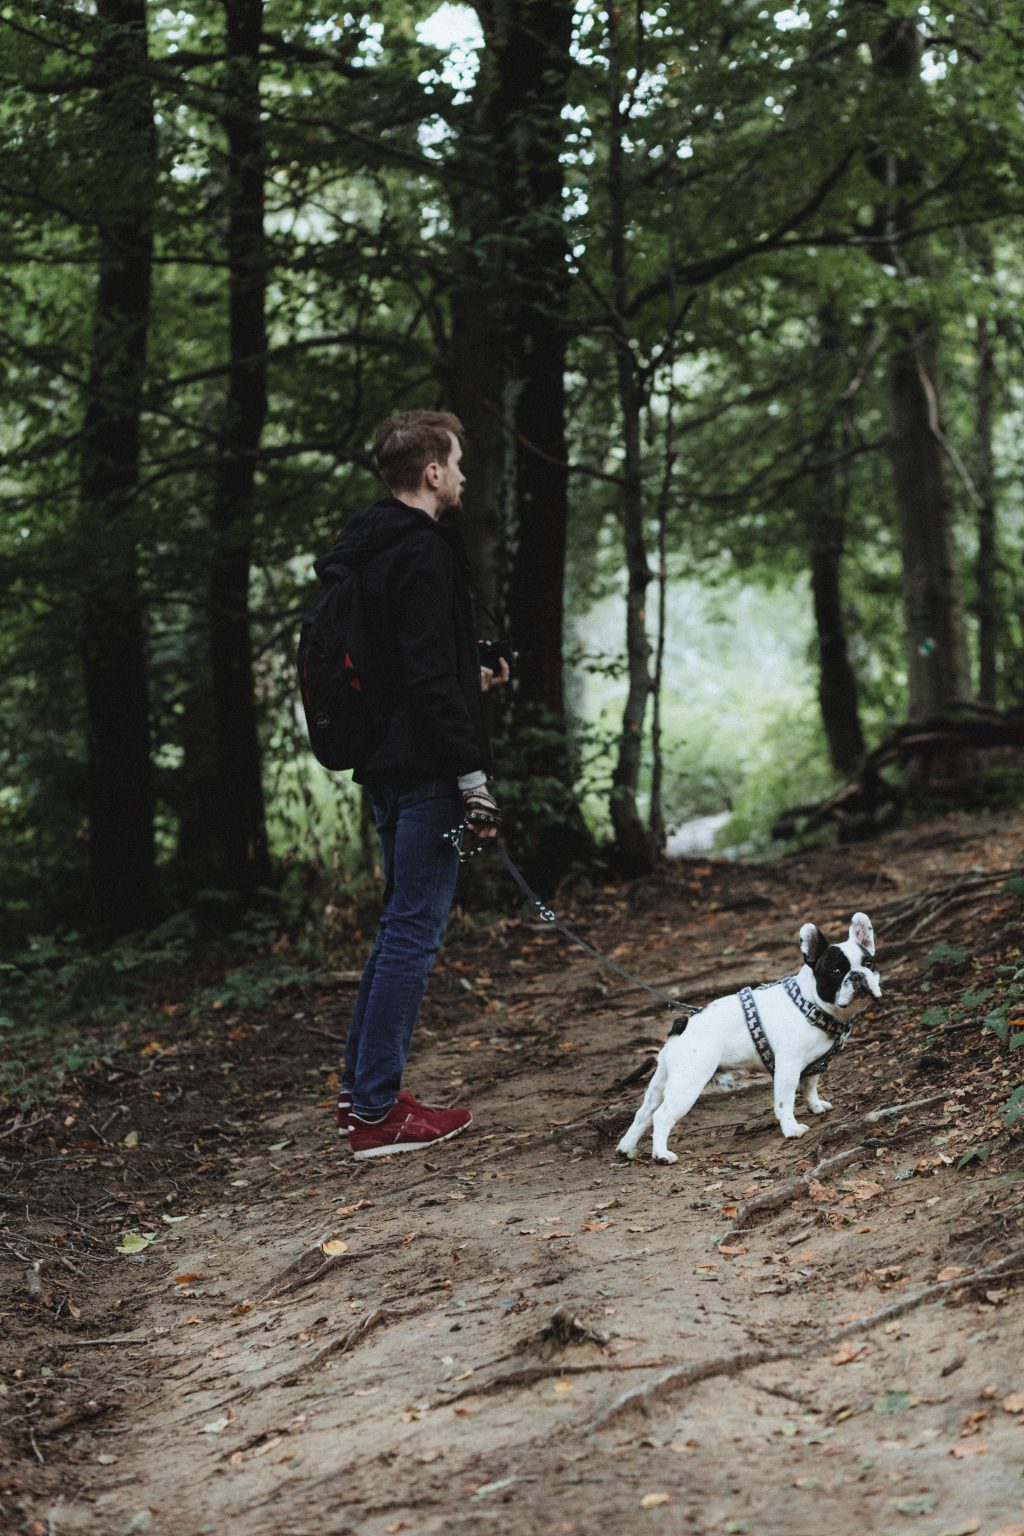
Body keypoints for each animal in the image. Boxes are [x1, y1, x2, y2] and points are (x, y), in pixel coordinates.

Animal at [617, 909, 884, 1161]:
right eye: (836, 971)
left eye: (869, 964)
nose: (858, 975)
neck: (811, 1003)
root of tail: (684, 1023)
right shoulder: (788, 1066)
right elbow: (785, 1101)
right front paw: (791, 1129)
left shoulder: (813, 1065)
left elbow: (809, 1088)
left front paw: (816, 1106)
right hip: (689, 1081)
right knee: (661, 1116)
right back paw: (662, 1155)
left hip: (663, 1079)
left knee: (644, 1113)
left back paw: (626, 1148)